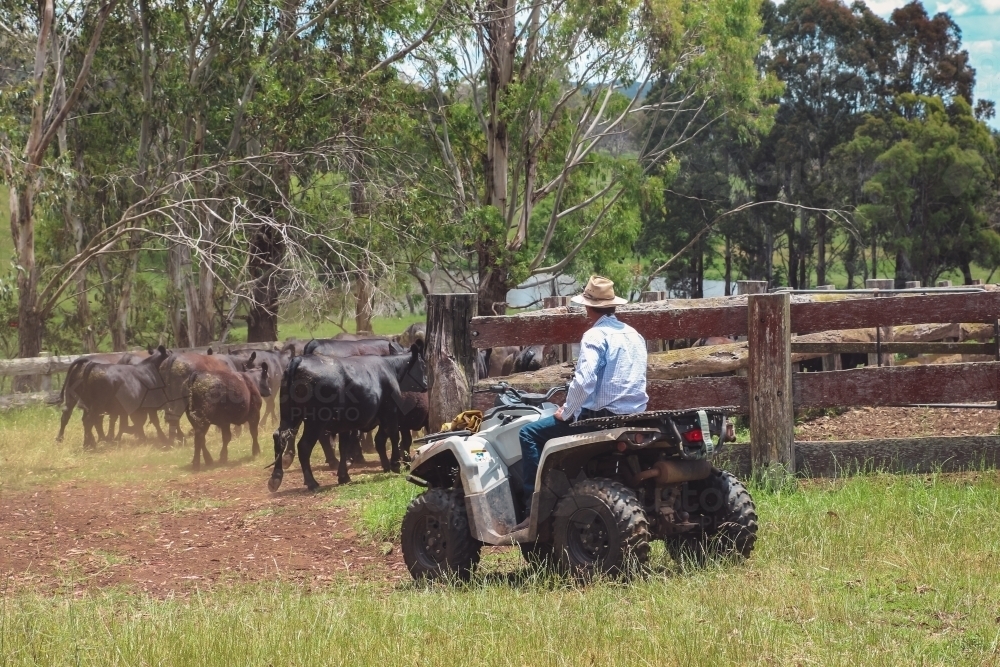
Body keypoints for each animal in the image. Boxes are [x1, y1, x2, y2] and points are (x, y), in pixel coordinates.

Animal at [268, 344, 424, 490]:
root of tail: (299, 359)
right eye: (423, 364)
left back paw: (275, 479)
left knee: (279, 437)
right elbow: (394, 435)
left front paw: (344, 476)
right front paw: (396, 465)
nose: (427, 383)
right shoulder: (390, 411)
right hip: (315, 421)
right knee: (304, 446)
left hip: (290, 416)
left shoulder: (345, 424)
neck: (390, 367)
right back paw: (312, 482)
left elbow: (344, 446)